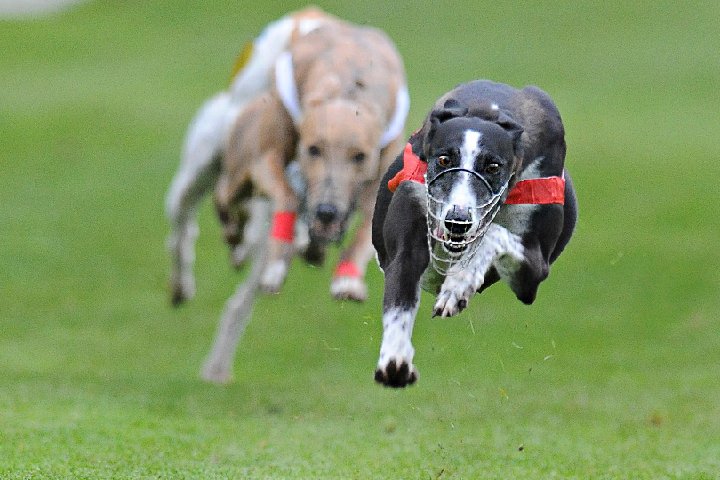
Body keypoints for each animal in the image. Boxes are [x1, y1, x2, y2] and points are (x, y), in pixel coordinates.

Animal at [165, 7, 409, 383]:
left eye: (360, 156)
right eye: (312, 149)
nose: (326, 211)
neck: (350, 87)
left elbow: (364, 230)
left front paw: (347, 280)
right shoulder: (267, 159)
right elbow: (282, 199)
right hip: (204, 164)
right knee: (189, 219)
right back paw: (188, 282)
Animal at [371, 80, 578, 387]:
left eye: (493, 166)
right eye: (444, 159)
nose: (457, 221)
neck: (485, 111)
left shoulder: (533, 274)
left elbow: (494, 235)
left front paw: (458, 286)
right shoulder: (406, 245)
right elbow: (399, 303)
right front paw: (395, 360)